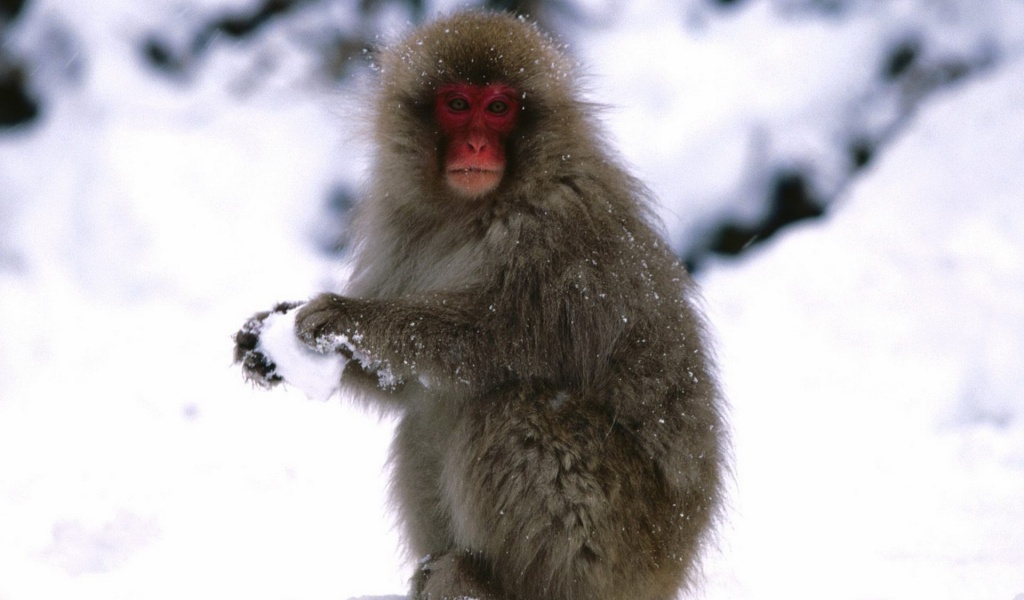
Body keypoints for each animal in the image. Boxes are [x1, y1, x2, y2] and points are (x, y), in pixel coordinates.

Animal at [234, 10, 724, 597]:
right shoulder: (401, 223)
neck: (472, 210)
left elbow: (486, 342)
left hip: (617, 542)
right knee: (426, 419)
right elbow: (406, 385)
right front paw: (265, 338)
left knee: (513, 408)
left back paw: (493, 581)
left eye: (498, 108)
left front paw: (346, 318)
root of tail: (671, 566)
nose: (473, 146)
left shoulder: (555, 238)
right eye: (456, 104)